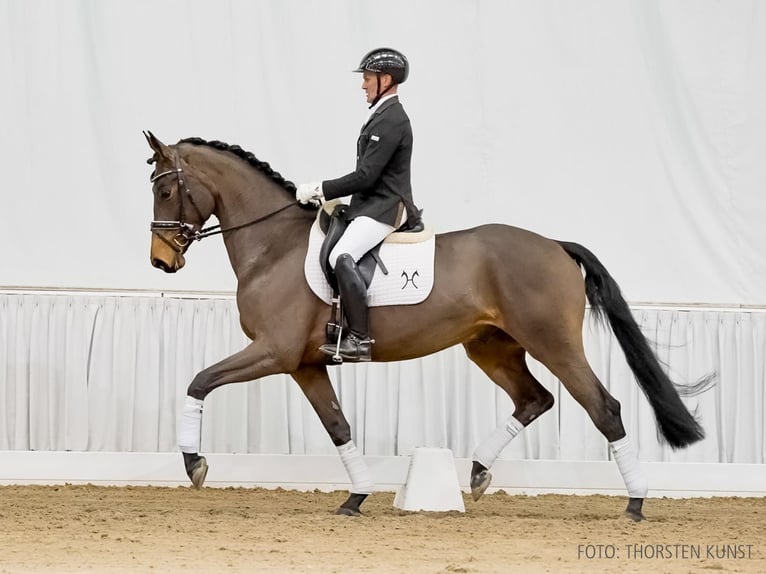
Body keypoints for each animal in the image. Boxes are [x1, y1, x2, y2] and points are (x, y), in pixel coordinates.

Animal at [146, 133, 712, 524]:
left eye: (167, 188)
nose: (160, 261)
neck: (274, 246)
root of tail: (554, 244)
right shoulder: (304, 364)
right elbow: (338, 426)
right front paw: (355, 497)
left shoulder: (273, 352)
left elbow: (199, 381)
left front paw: (194, 464)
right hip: (491, 347)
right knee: (535, 399)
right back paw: (479, 473)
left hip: (553, 343)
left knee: (603, 407)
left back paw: (635, 503)